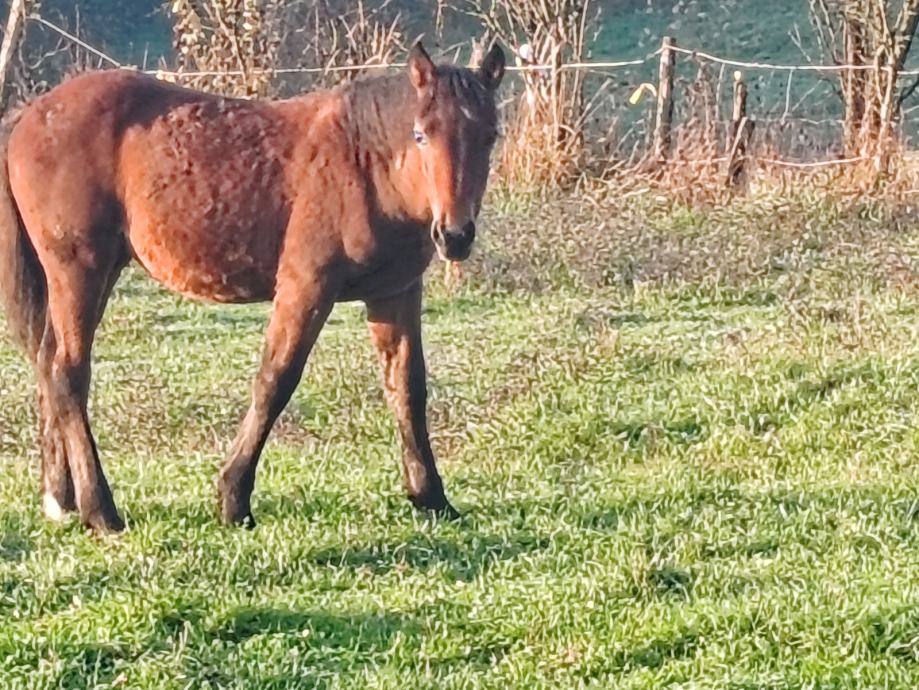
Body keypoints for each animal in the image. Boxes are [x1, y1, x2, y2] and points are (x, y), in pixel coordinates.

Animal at [0, 43, 504, 528]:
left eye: (489, 136)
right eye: (421, 134)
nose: (455, 235)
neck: (366, 164)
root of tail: (29, 115)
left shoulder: (394, 293)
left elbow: (407, 387)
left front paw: (432, 497)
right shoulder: (306, 286)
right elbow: (275, 380)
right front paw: (233, 498)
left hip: (95, 274)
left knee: (47, 363)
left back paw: (61, 499)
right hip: (79, 270)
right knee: (68, 373)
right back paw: (100, 511)